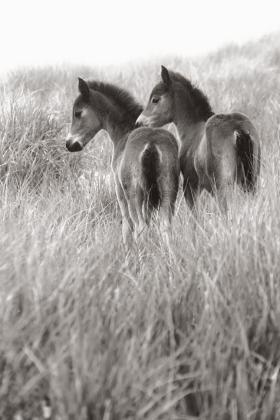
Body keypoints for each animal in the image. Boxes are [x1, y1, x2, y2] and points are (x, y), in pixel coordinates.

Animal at [66, 78, 179, 248]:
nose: (69, 144)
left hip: (134, 195)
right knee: (165, 228)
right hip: (168, 190)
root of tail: (151, 144)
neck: (125, 132)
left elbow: (127, 227)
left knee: (140, 227)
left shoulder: (119, 192)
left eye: (77, 113)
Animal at [137, 66, 262, 209]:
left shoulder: (190, 187)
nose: (139, 122)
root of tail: (237, 129)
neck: (192, 129)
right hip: (251, 181)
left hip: (223, 188)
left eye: (155, 99)